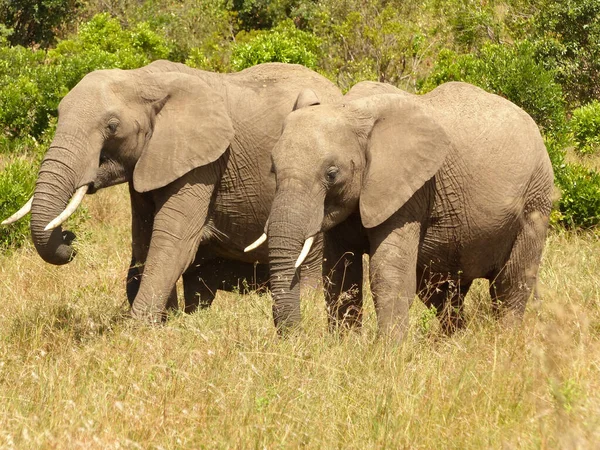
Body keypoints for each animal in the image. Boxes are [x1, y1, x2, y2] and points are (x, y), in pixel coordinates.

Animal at [2, 60, 342, 320]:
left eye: (112, 126)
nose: (69, 239)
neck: (143, 79)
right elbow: (144, 239)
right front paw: (168, 321)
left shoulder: (203, 162)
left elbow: (173, 242)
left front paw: (138, 330)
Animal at [246, 81, 556, 342]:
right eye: (273, 169)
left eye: (331, 174)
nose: (294, 339)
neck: (353, 110)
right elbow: (340, 272)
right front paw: (344, 347)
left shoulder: (411, 191)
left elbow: (387, 273)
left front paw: (388, 354)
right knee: (441, 292)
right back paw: (452, 343)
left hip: (536, 198)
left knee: (510, 283)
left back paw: (505, 342)